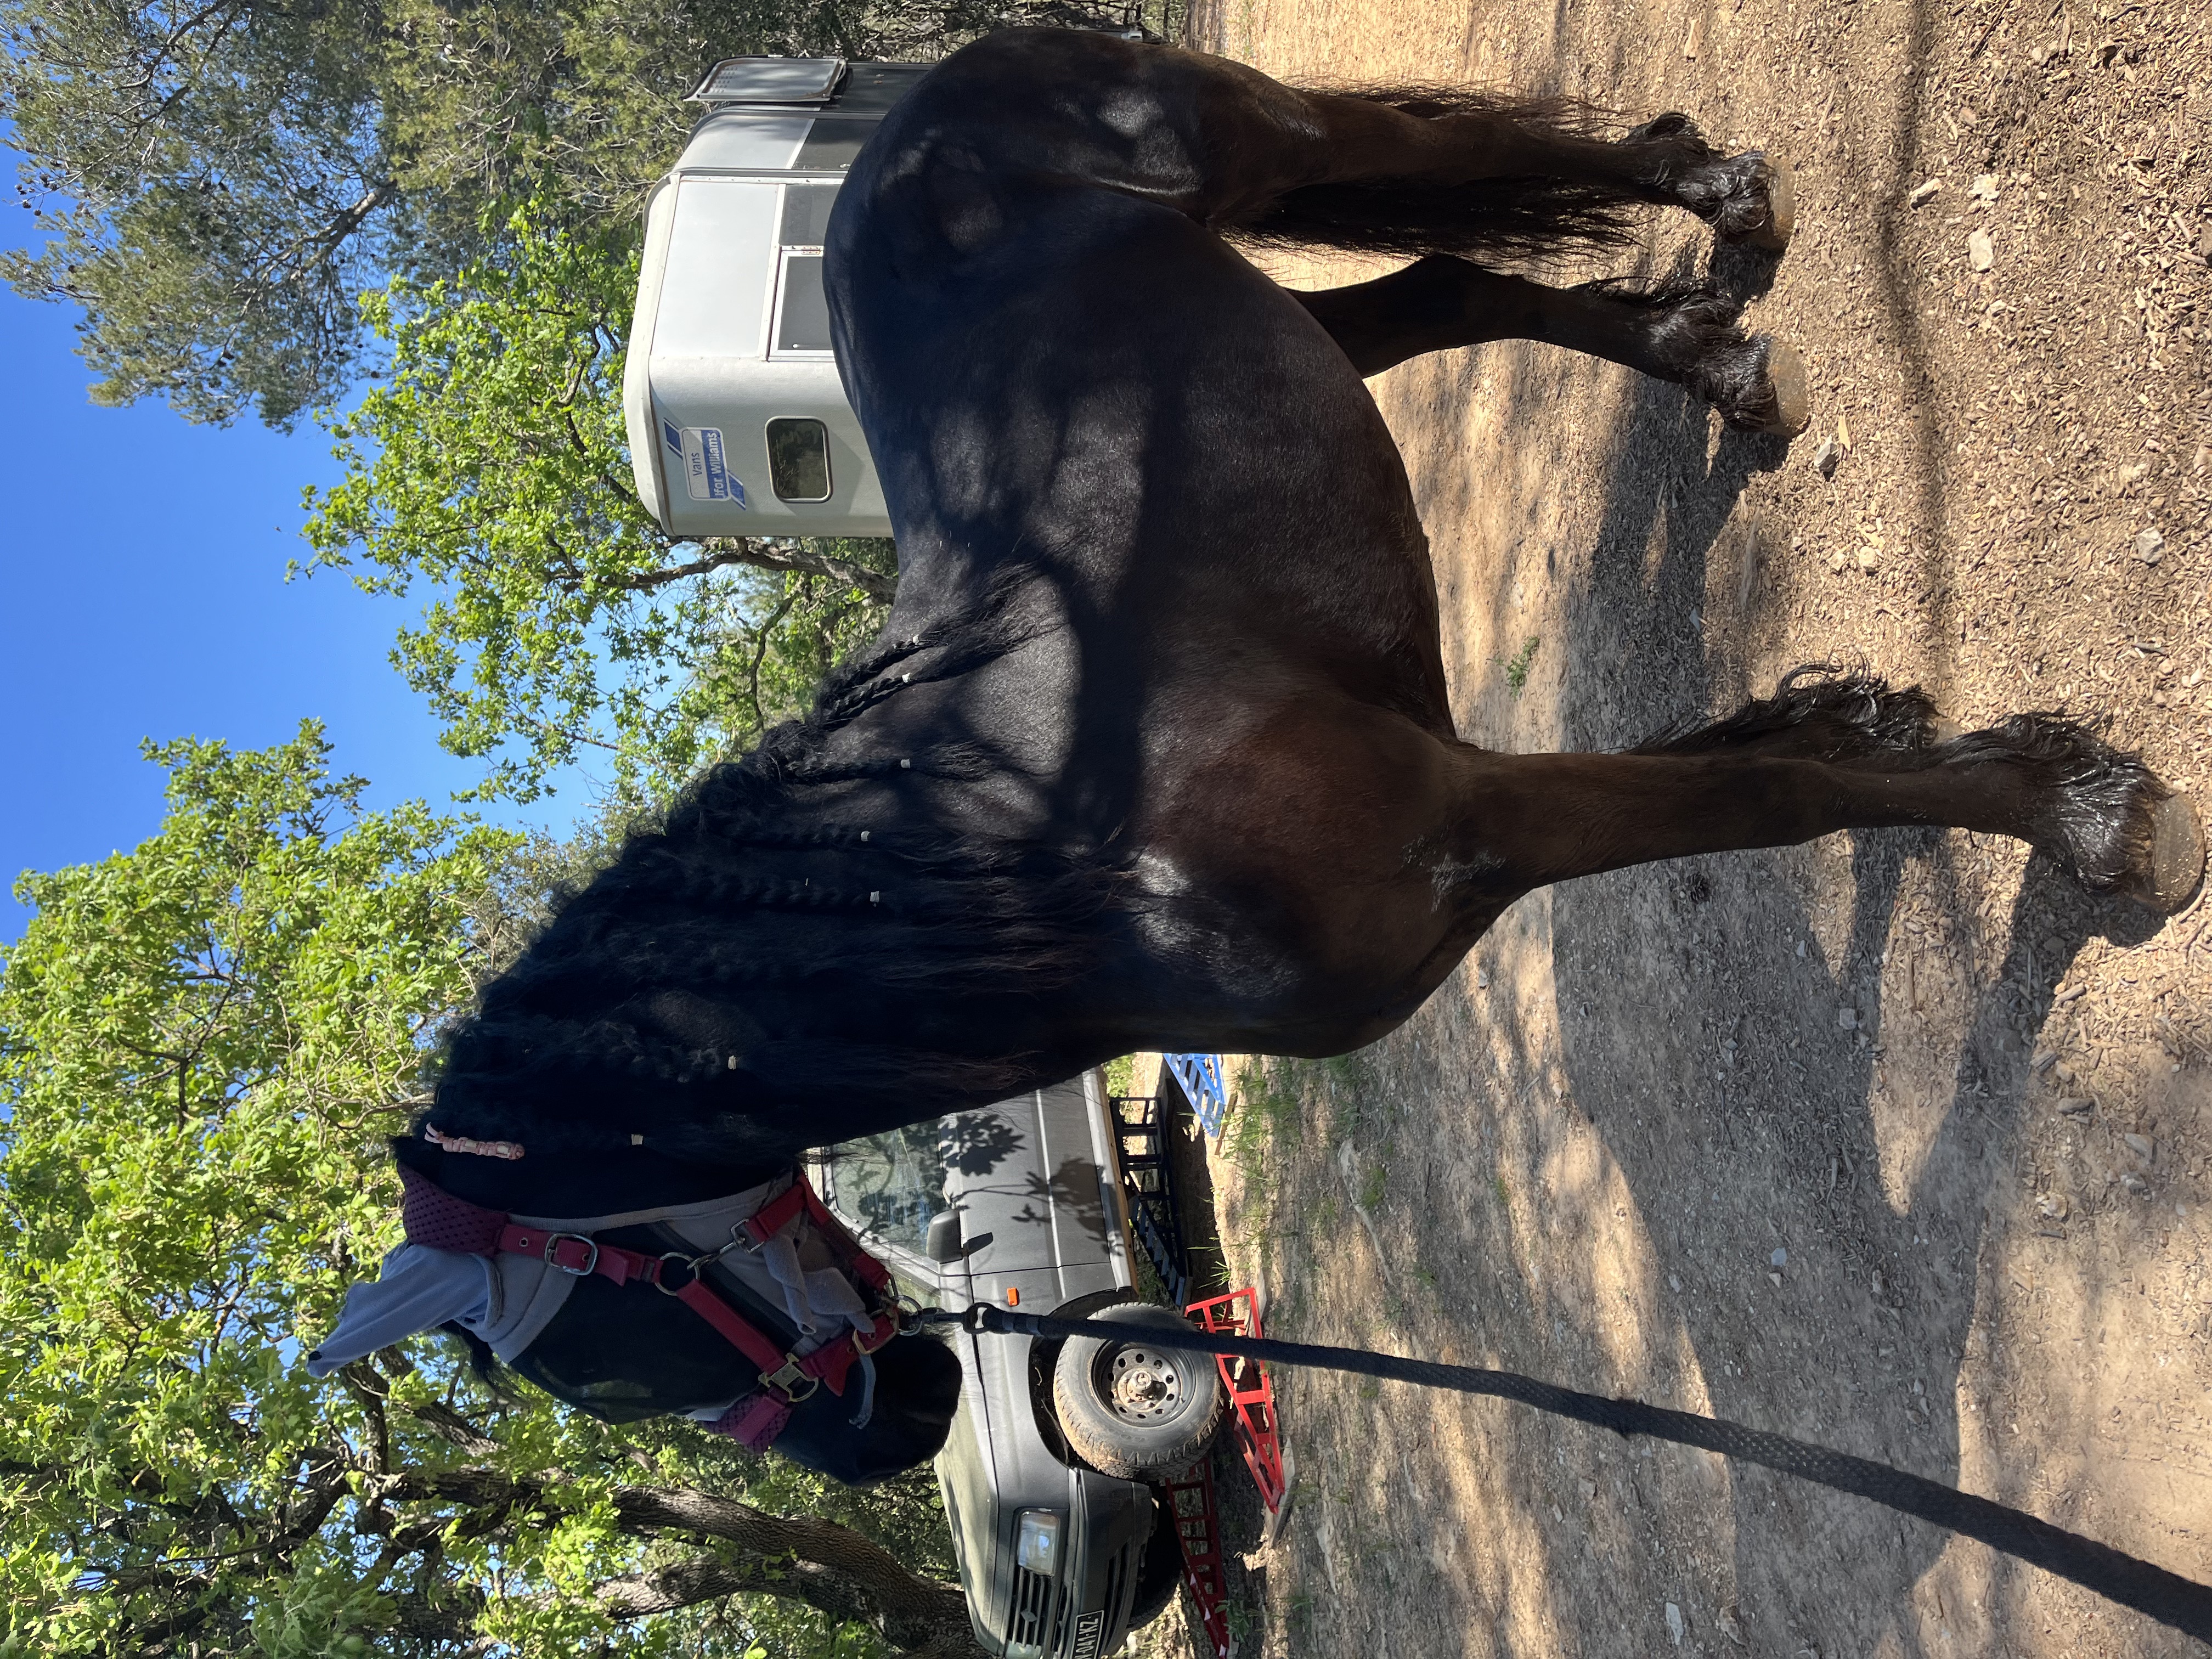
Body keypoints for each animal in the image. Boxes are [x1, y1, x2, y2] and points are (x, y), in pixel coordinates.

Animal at [348, 28, 2204, 1483]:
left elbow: (1776, 794)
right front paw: (1956, 752)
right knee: (1451, 285)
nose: (904, 1425)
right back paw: (1716, 361)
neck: (1049, 839)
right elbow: (1773, 767)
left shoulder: (1482, 813)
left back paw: (1723, 195)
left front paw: (2088, 815)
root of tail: (905, 109)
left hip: (1259, 148)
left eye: (613, 1343)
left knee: (1455, 158)